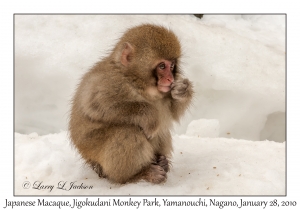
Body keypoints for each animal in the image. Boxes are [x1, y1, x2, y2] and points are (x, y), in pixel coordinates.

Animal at [69, 23, 193, 184]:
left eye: (172, 66)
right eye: (162, 66)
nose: (170, 79)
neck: (136, 83)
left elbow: (173, 113)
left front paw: (182, 91)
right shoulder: (109, 82)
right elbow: (97, 105)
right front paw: (149, 116)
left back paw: (162, 162)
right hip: (97, 155)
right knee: (127, 131)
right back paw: (138, 174)